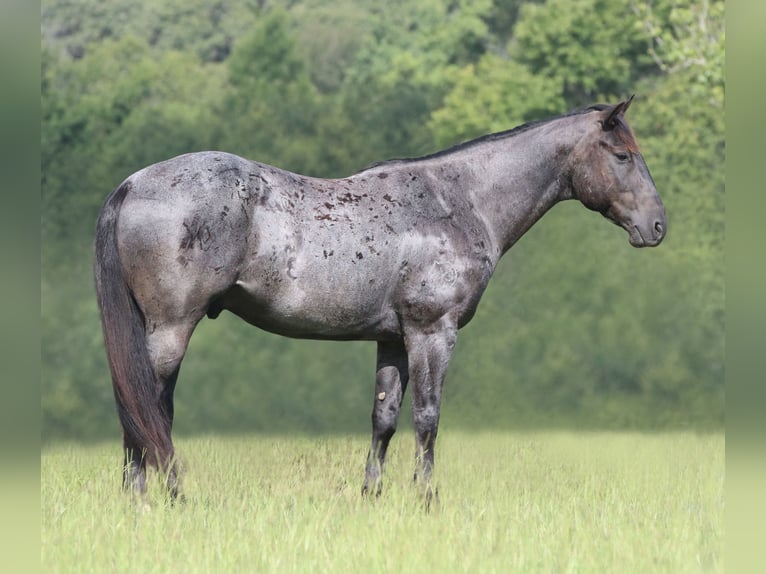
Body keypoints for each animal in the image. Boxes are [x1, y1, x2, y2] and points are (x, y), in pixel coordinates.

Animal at [94, 97, 665, 499]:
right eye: (622, 156)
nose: (657, 226)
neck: (460, 201)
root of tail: (133, 184)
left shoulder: (393, 339)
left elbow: (384, 420)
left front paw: (372, 496)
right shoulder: (432, 332)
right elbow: (428, 417)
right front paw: (426, 499)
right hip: (171, 329)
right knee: (147, 408)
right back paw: (160, 498)